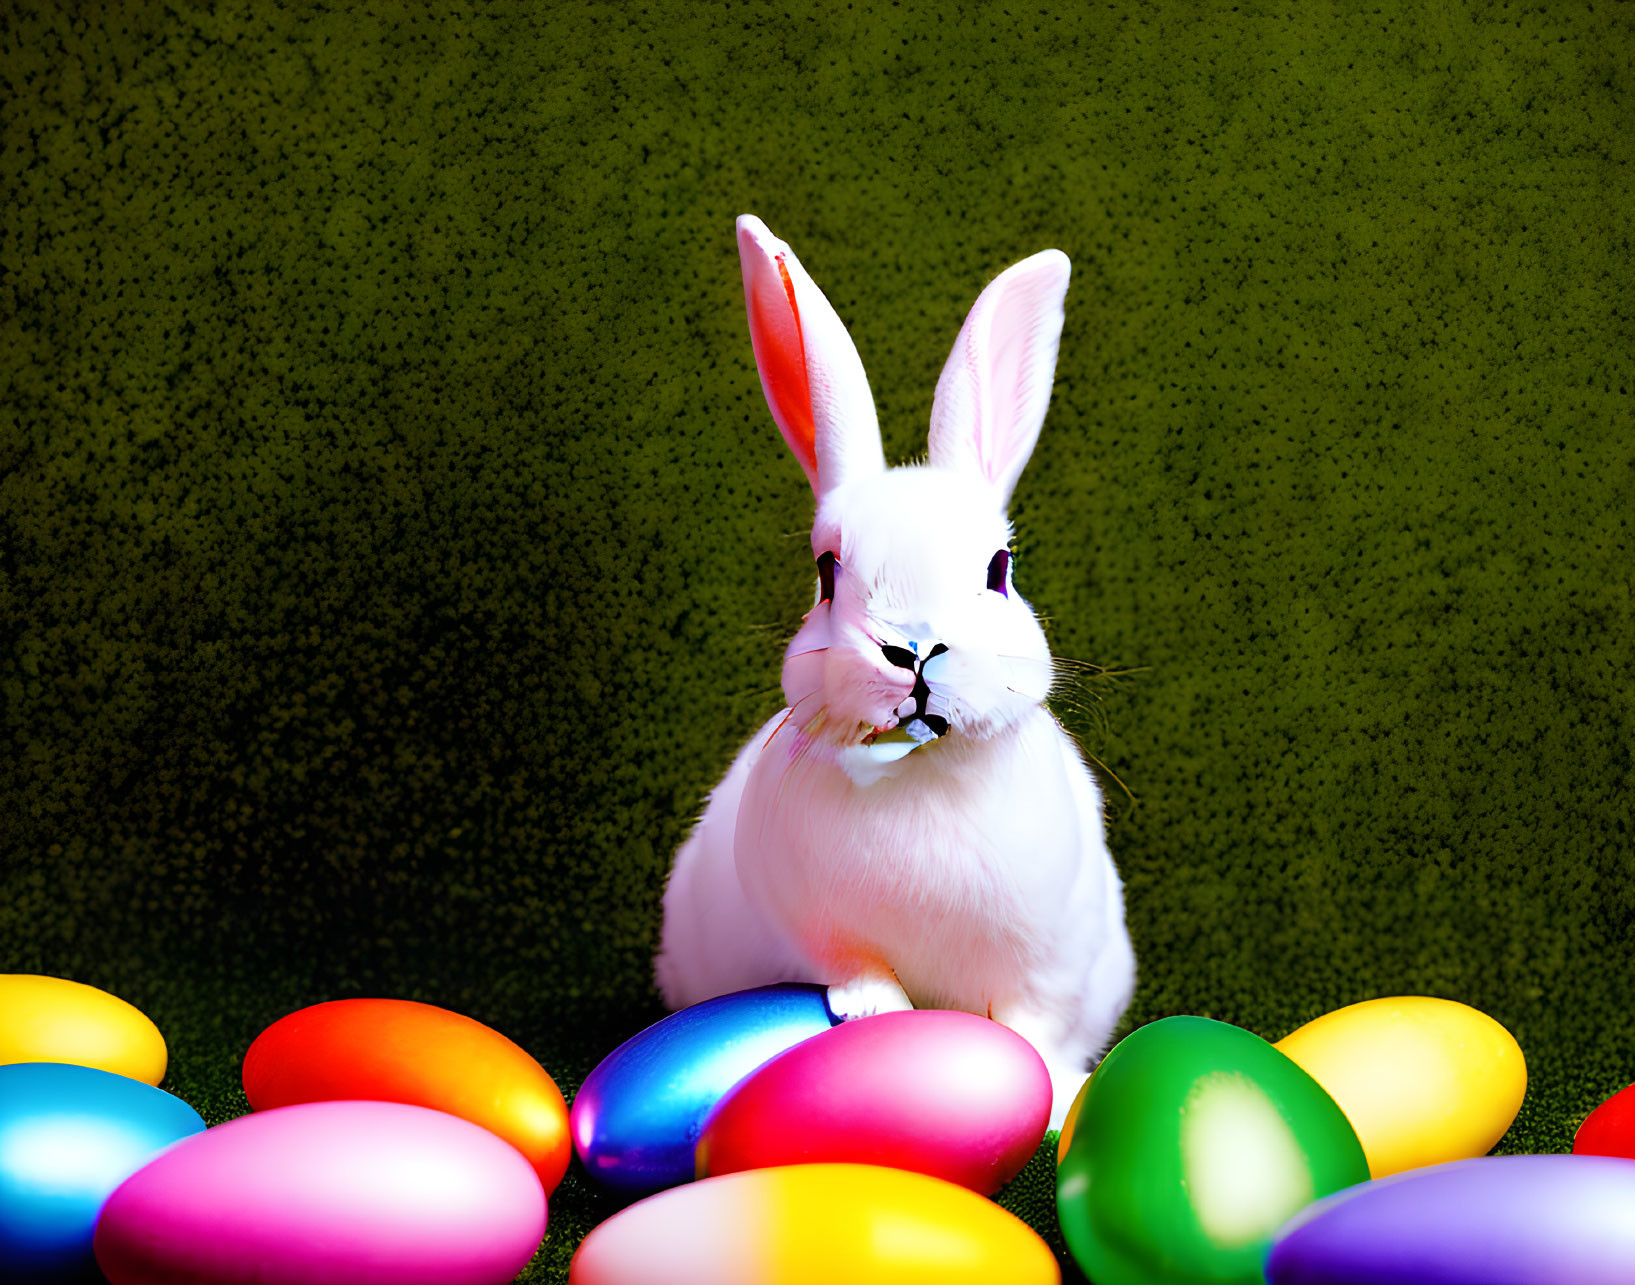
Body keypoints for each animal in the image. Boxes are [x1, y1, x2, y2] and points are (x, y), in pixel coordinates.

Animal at [654, 210, 1137, 1124]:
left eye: (998, 568)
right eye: (826, 573)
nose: (912, 648)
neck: (921, 767)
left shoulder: (1053, 962)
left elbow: (1033, 1025)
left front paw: (1057, 1096)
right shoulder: (812, 928)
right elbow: (859, 972)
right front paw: (876, 1019)